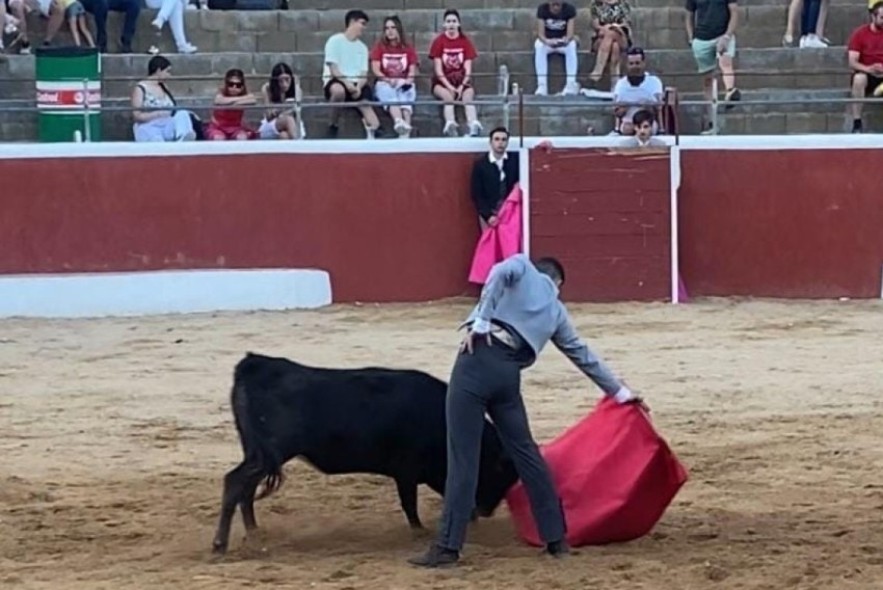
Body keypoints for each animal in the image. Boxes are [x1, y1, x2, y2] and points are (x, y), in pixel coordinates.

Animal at [212, 356, 516, 556]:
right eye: (499, 470)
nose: (486, 511)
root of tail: (255, 364)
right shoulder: (406, 470)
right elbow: (409, 503)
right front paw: (419, 531)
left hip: (260, 454)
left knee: (246, 488)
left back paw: (254, 534)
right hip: (270, 453)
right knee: (235, 482)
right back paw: (220, 545)